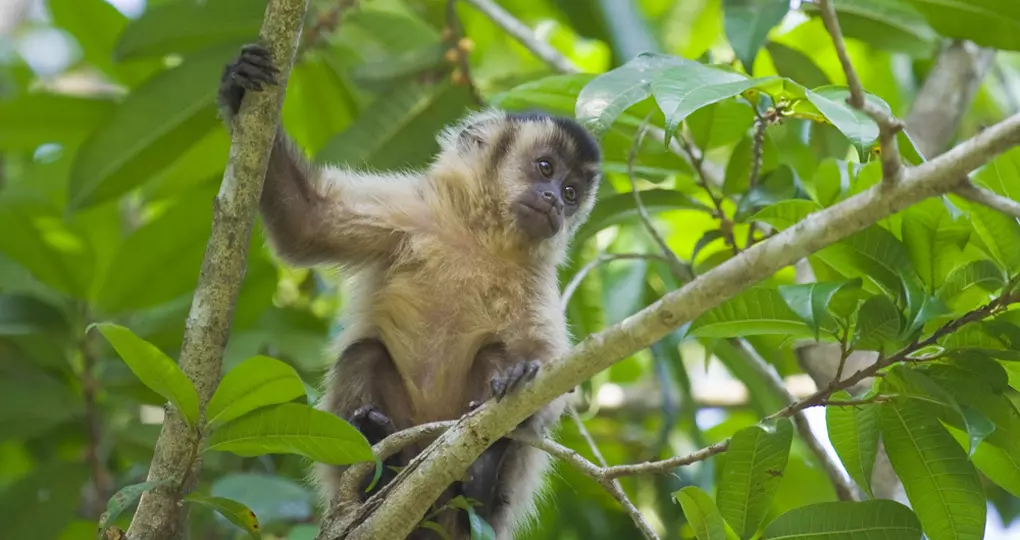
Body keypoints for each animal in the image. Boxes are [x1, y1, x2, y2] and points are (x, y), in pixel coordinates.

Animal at [217, 43, 602, 539]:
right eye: (546, 168)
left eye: (572, 192)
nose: (555, 200)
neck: (481, 236)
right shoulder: (411, 212)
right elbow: (307, 222)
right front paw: (238, 85)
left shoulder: (537, 274)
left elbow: (552, 378)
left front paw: (521, 377)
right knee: (363, 353)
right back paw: (374, 462)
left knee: (494, 358)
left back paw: (482, 471)